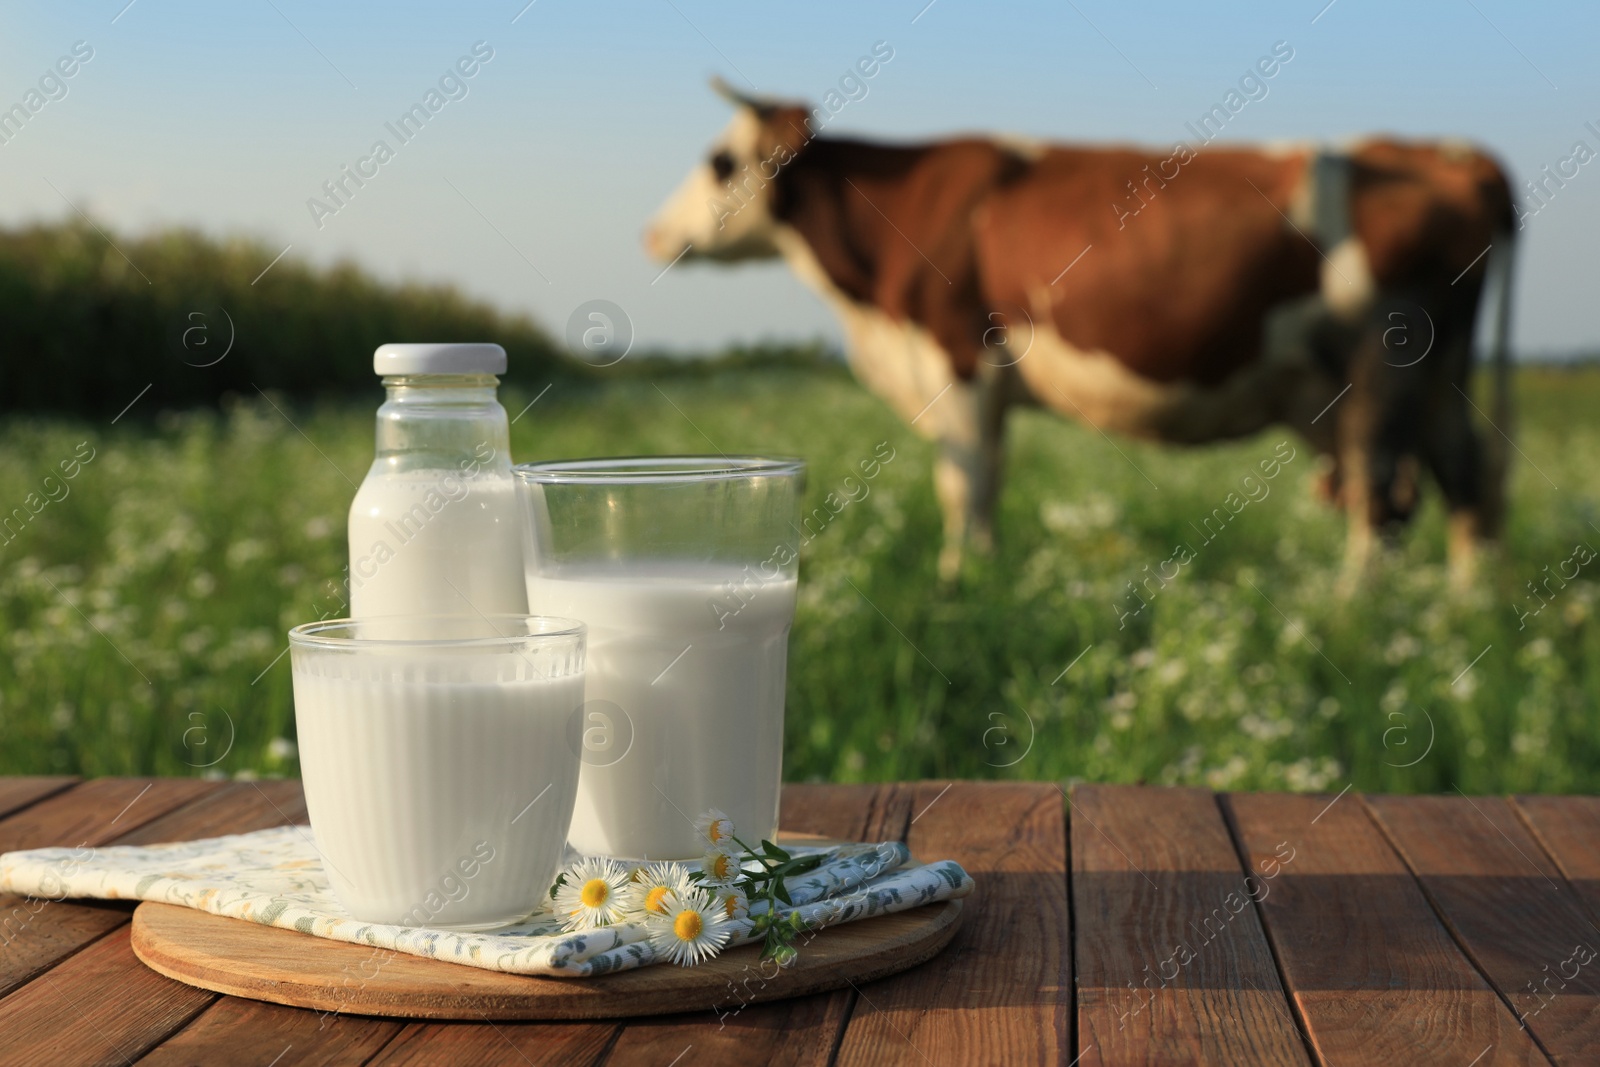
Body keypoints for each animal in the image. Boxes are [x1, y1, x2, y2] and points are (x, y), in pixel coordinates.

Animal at [643, 81, 1516, 585]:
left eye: (720, 161)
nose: (653, 233)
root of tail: (1443, 153)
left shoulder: (958, 359)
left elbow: (962, 483)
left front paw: (957, 582)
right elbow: (988, 482)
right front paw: (983, 579)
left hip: (1382, 367)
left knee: (1384, 493)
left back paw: (1355, 614)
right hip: (1437, 374)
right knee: (1467, 480)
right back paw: (1464, 610)